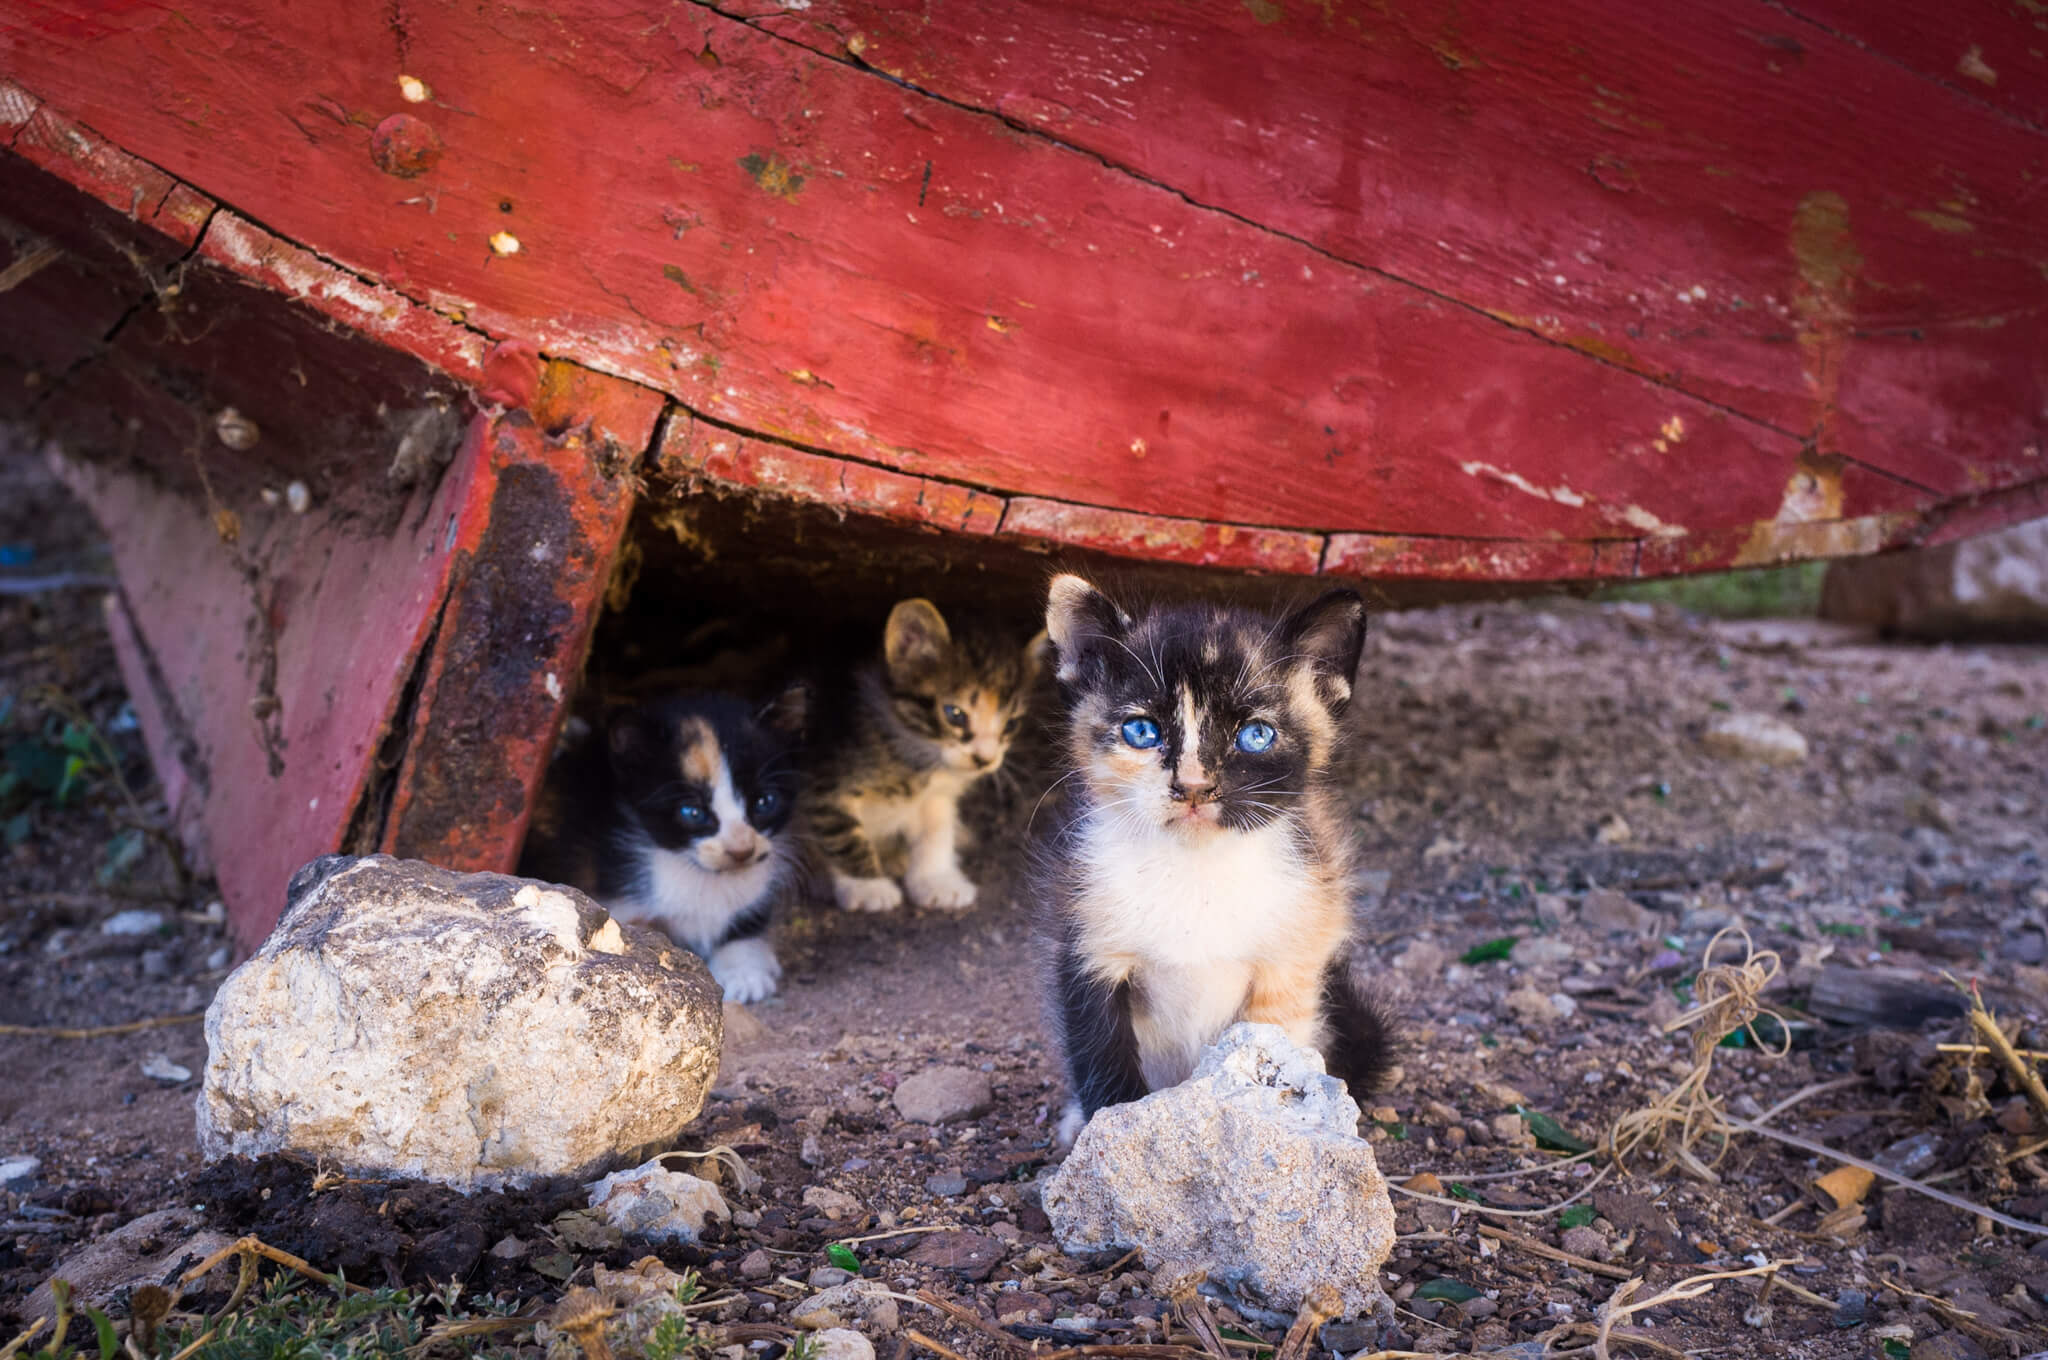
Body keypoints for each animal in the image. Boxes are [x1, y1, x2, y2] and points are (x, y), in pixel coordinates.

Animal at [1040, 569, 1392, 1138]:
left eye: (1256, 735)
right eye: (1142, 730)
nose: (1193, 787)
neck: (1194, 869)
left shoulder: (1292, 956)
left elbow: (1265, 1053)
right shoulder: (1087, 947)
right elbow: (1101, 1058)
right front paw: (1107, 1132)